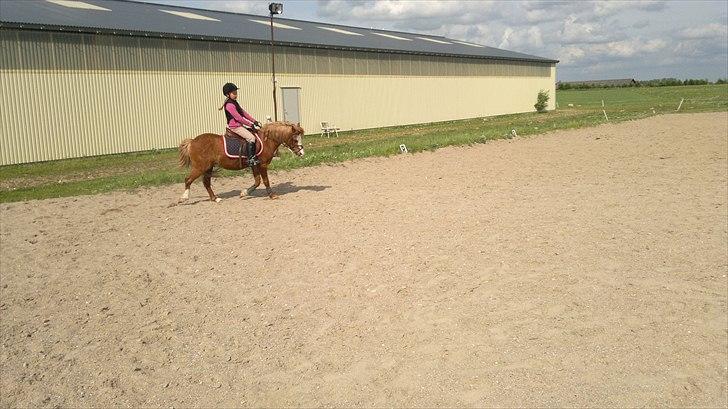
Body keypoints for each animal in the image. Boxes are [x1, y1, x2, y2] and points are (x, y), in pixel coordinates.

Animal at [176, 122, 304, 202]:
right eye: (294, 139)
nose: (302, 153)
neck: (267, 141)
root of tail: (192, 141)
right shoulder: (262, 165)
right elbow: (265, 181)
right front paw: (272, 195)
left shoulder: (255, 165)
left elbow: (257, 181)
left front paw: (244, 193)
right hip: (200, 167)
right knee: (188, 180)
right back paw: (184, 198)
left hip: (208, 167)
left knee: (206, 183)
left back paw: (215, 198)